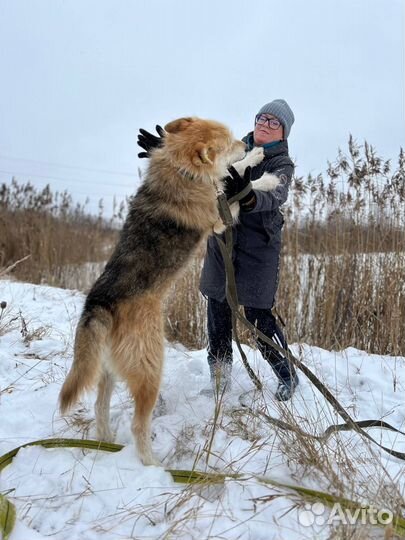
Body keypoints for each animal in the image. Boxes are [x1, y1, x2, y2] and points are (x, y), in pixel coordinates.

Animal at [58, 117, 280, 464]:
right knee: (138, 423)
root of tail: (99, 303)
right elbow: (242, 188)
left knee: (99, 406)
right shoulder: (219, 218)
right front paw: (265, 177)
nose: (247, 143)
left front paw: (253, 158)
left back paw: (106, 442)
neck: (181, 170)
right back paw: (152, 464)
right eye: (227, 142)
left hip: (107, 370)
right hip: (150, 367)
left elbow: (234, 176)